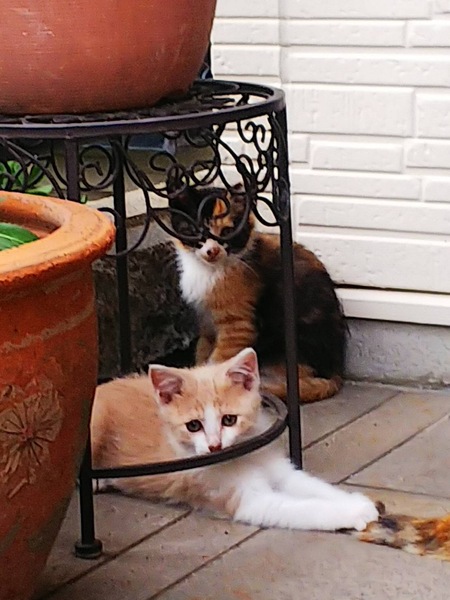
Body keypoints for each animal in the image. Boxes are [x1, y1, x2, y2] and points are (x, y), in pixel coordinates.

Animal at [91, 347, 379, 532]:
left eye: (229, 419)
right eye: (193, 426)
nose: (214, 446)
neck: (243, 455)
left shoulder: (281, 471)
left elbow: (312, 486)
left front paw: (356, 501)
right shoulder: (248, 501)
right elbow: (303, 508)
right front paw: (353, 513)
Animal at [168, 182, 347, 403]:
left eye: (227, 231)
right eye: (196, 232)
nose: (212, 250)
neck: (208, 270)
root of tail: (336, 372)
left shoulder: (239, 326)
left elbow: (218, 360)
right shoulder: (206, 324)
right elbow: (202, 350)